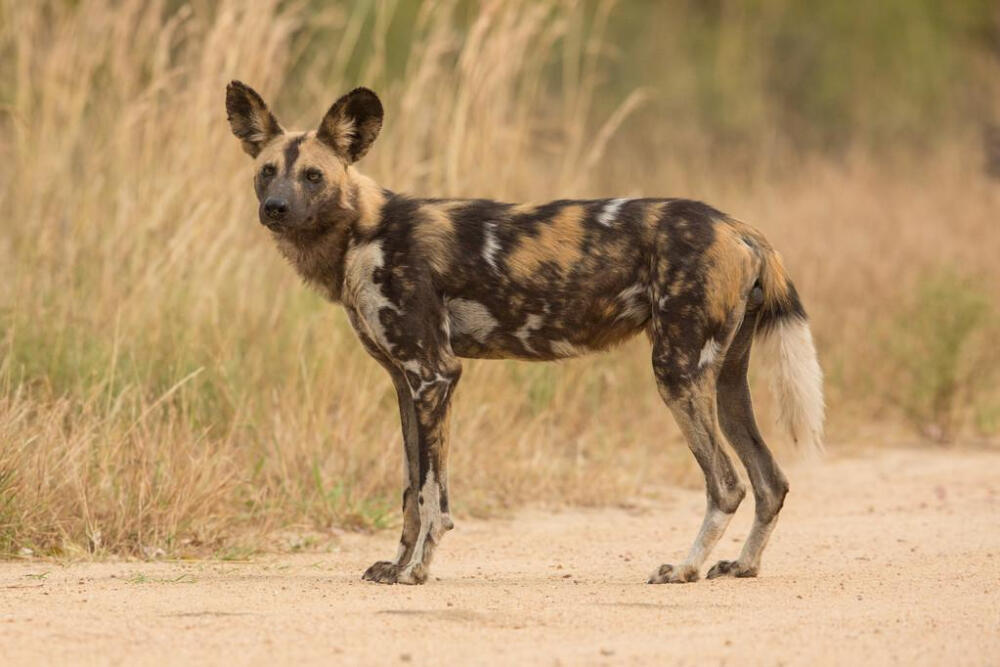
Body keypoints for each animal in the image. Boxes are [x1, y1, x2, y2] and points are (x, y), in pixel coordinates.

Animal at [229, 82, 828, 584]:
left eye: (313, 176)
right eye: (266, 172)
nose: (275, 208)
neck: (362, 231)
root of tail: (740, 228)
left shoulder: (435, 376)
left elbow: (431, 497)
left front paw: (416, 571)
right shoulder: (406, 384)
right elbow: (408, 488)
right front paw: (395, 565)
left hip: (677, 373)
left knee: (726, 483)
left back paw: (684, 568)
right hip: (724, 381)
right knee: (770, 480)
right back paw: (742, 566)